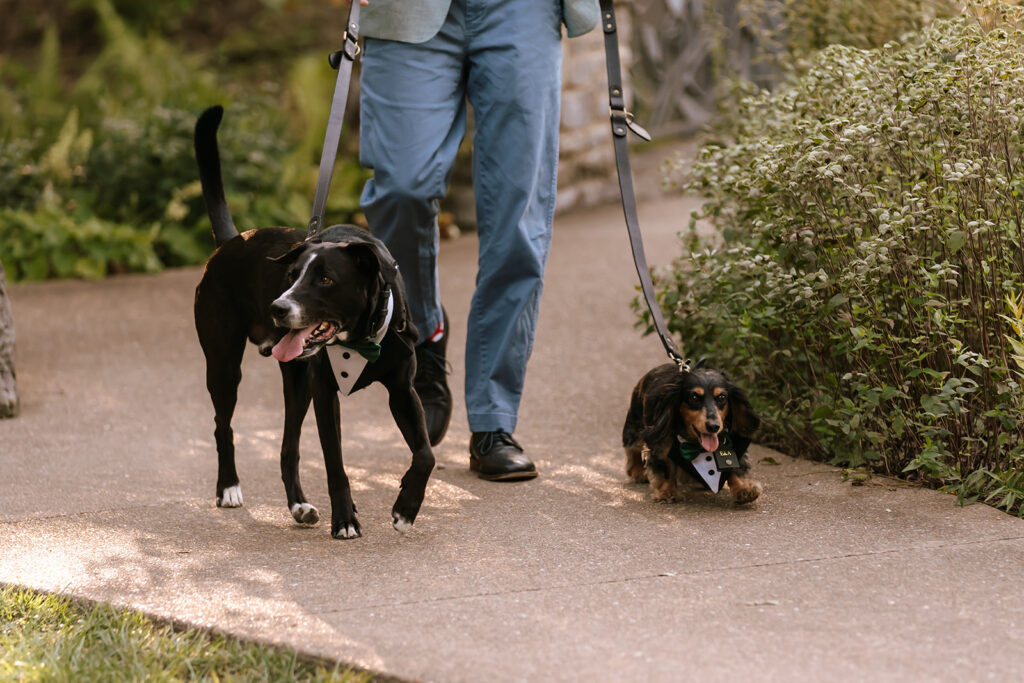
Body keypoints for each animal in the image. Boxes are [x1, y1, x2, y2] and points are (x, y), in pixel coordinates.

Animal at [191, 105, 432, 540]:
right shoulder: (325, 394)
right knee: (223, 427)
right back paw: (228, 487)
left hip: (296, 382)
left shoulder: (403, 391)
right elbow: (336, 465)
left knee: (288, 448)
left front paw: (406, 508)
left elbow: (425, 453)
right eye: (291, 276)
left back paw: (299, 506)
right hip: (223, 366)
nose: (278, 308)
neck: (361, 338)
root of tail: (231, 242)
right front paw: (346, 520)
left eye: (326, 279)